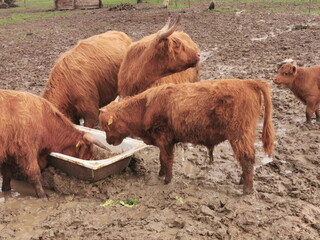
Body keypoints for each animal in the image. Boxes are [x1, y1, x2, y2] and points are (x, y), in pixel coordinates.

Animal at [100, 79, 276, 195]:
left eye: (106, 126)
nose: (108, 141)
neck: (145, 108)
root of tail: (248, 82)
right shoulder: (163, 141)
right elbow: (162, 158)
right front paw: (161, 174)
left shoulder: (165, 138)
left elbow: (167, 159)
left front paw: (167, 180)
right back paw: (242, 181)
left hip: (239, 134)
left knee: (247, 158)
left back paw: (247, 189)